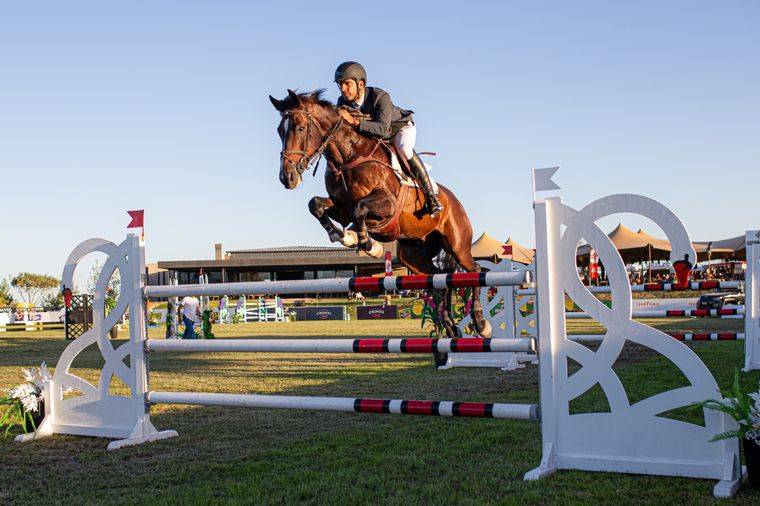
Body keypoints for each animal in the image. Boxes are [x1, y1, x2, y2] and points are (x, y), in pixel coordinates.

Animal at [269, 89, 491, 353]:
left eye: (301, 128)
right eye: (279, 130)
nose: (287, 177)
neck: (348, 156)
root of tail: (454, 201)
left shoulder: (386, 204)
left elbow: (360, 209)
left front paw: (368, 244)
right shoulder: (341, 209)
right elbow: (316, 204)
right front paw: (343, 235)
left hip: (457, 245)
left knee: (475, 270)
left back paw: (481, 323)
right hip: (413, 256)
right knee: (441, 280)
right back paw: (450, 328)